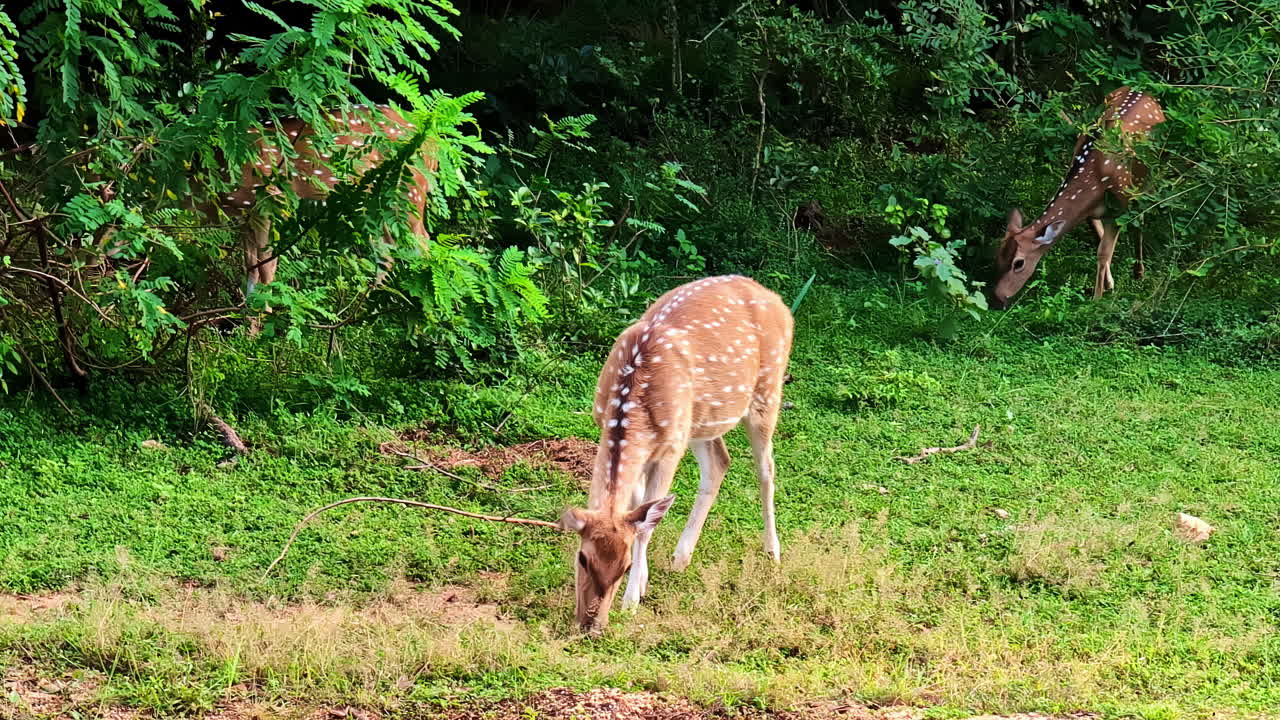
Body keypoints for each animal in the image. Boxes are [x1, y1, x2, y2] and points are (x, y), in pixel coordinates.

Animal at [559, 274, 795, 633]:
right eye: (582, 557)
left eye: (623, 566)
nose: (592, 625)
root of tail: (778, 302)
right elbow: (638, 508)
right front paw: (643, 583)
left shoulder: (669, 448)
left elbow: (647, 523)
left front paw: (631, 600)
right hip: (699, 421)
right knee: (719, 461)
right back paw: (681, 557)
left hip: (767, 393)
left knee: (767, 470)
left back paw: (773, 553)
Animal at [993, 86, 1165, 308]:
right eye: (997, 256)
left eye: (1019, 263)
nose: (997, 299)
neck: (1095, 174)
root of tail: (1142, 91)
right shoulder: (1093, 211)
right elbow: (1099, 239)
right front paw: (1108, 285)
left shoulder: (1121, 205)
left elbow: (1103, 253)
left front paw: (1096, 300)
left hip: (1150, 177)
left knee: (1141, 221)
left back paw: (1139, 273)